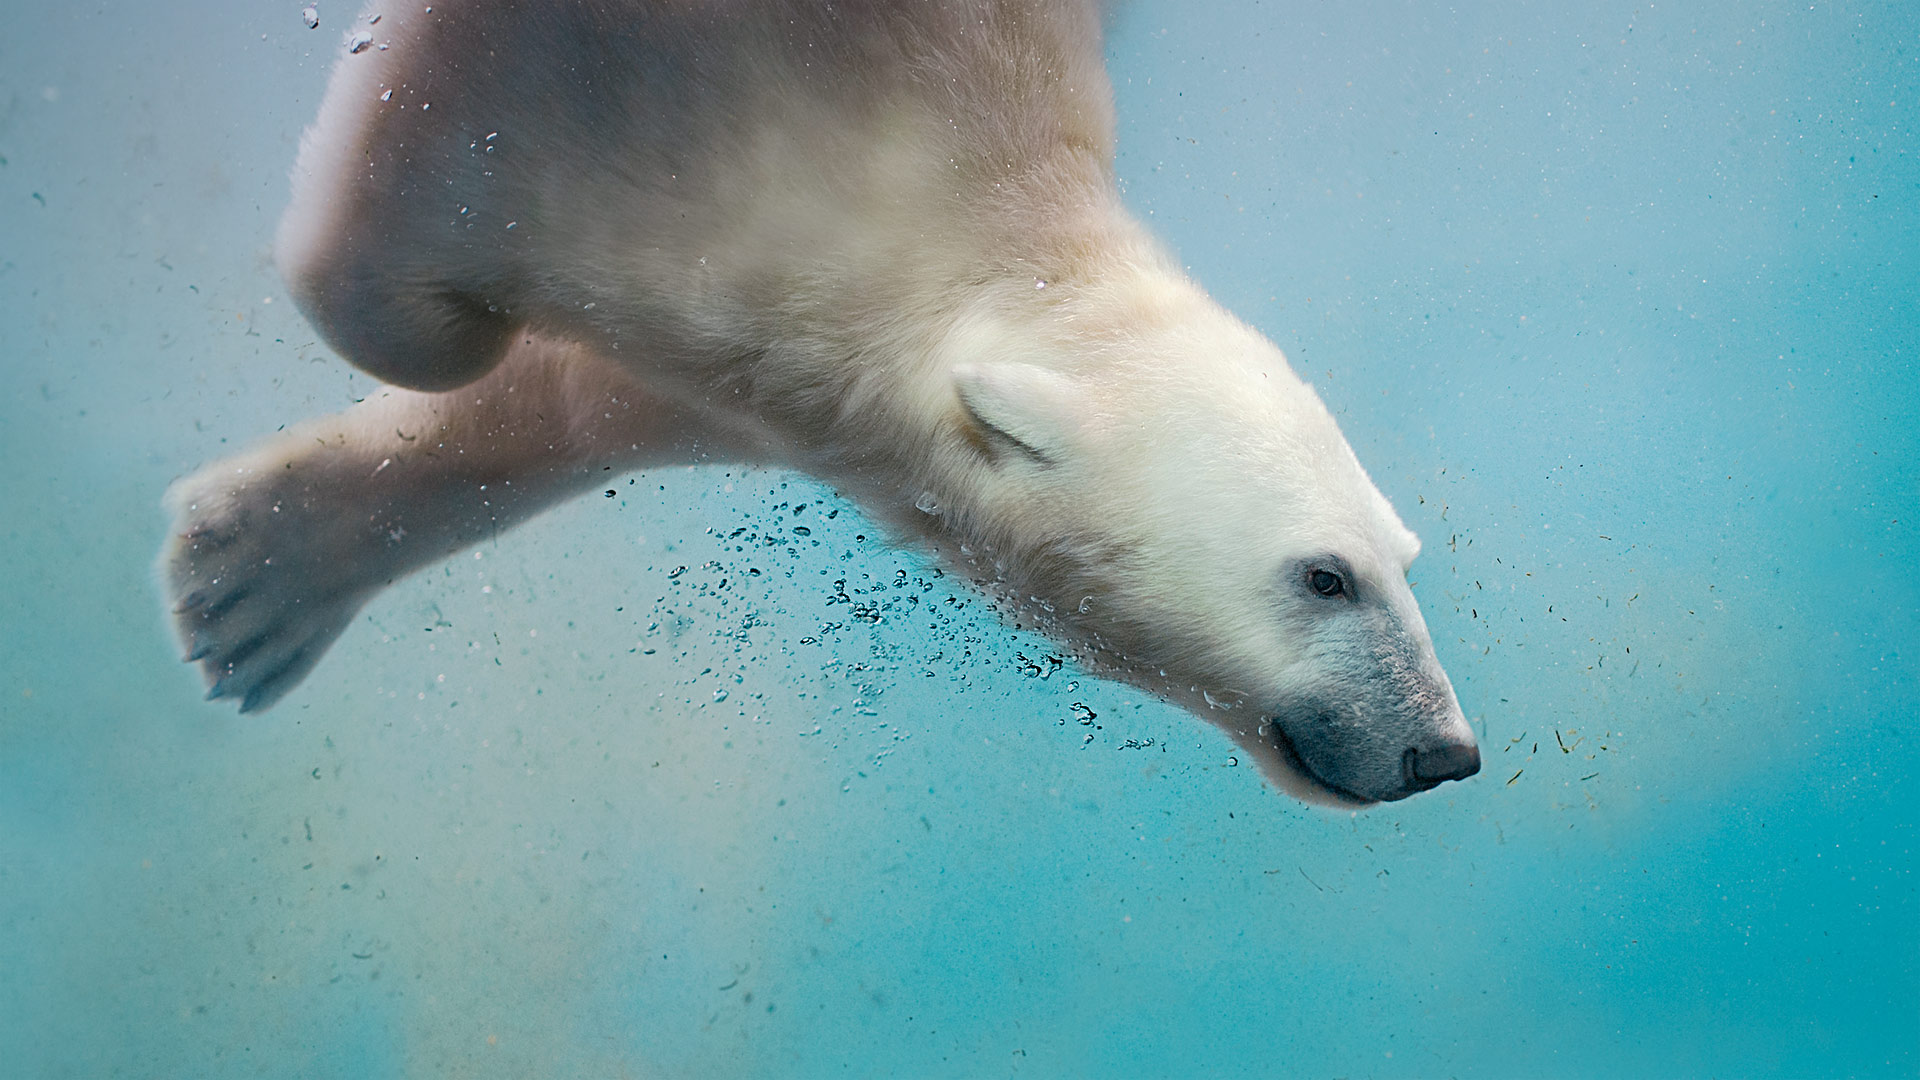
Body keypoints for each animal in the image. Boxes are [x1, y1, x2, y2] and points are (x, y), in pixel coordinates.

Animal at [165, 0, 1482, 803]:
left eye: (1403, 556)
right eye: (1324, 575)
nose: (1446, 751)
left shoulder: (767, 350)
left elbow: (600, 394)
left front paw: (249, 580)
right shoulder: (608, 97)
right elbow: (414, 298)